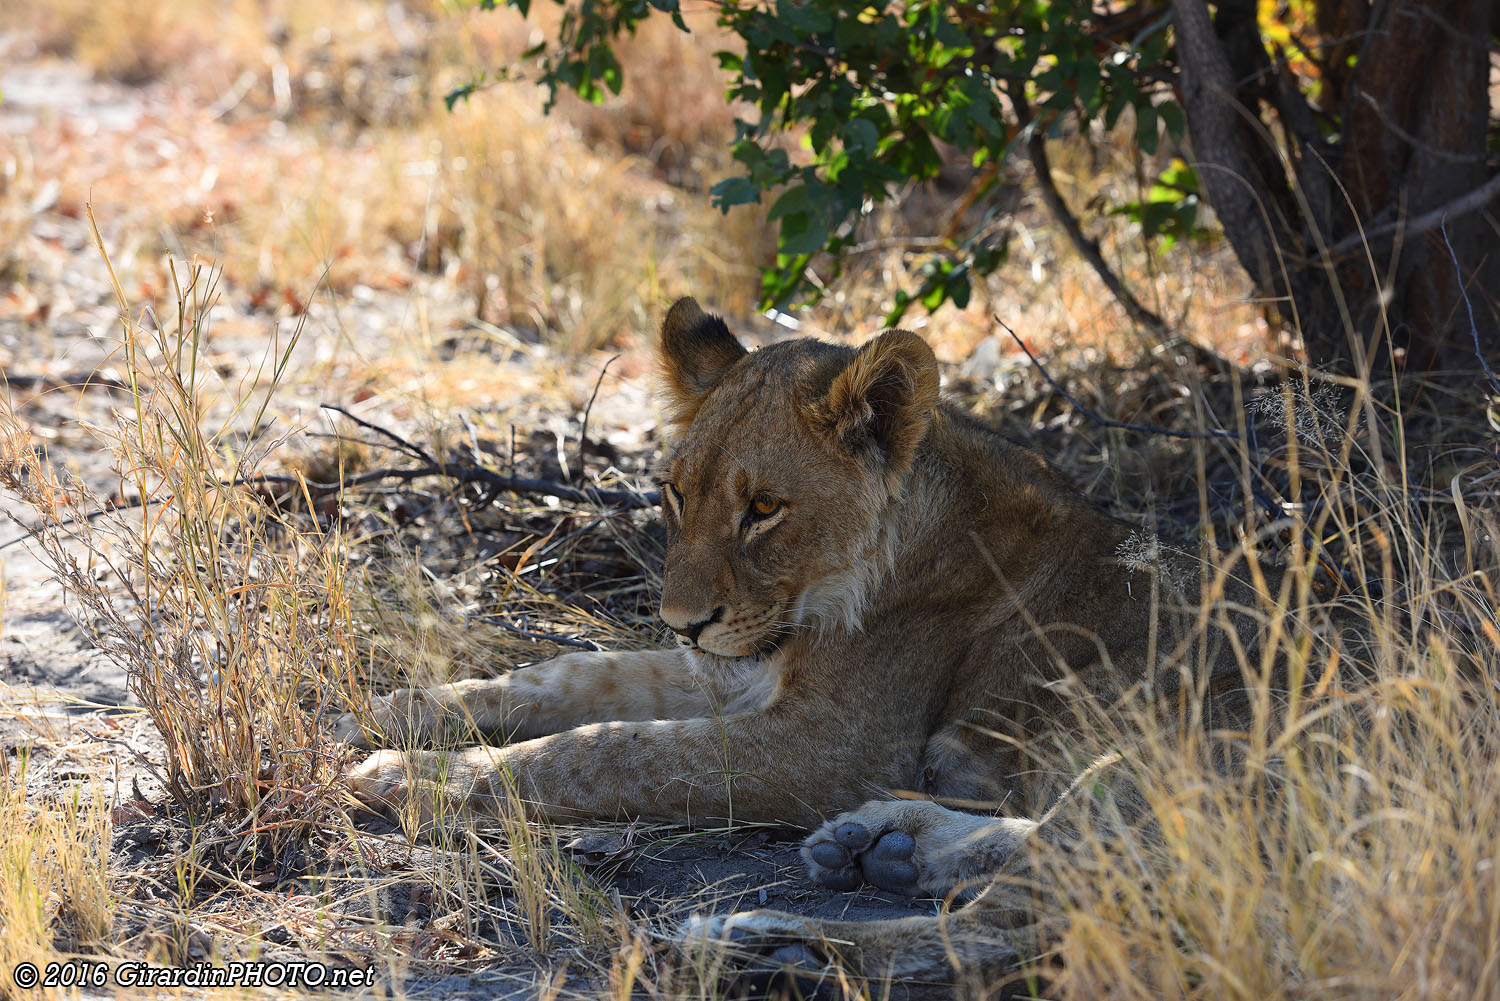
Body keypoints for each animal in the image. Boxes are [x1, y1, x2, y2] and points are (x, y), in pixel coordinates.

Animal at [341, 297, 1301, 994]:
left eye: (764, 507)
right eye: (675, 492)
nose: (681, 617)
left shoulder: (832, 743)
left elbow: (606, 751)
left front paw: (412, 779)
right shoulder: (734, 674)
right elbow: (574, 678)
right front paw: (398, 711)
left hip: (1158, 752)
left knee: (1027, 926)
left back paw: (769, 946)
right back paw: (883, 842)